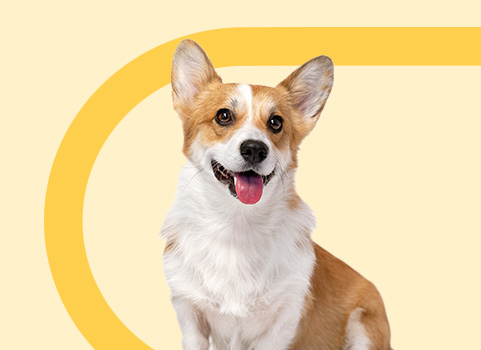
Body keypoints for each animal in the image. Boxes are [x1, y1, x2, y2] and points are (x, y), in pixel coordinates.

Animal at [161, 39, 390, 348]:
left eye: (275, 122)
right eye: (223, 116)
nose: (255, 149)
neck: (237, 223)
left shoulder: (283, 320)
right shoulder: (190, 313)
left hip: (363, 325)